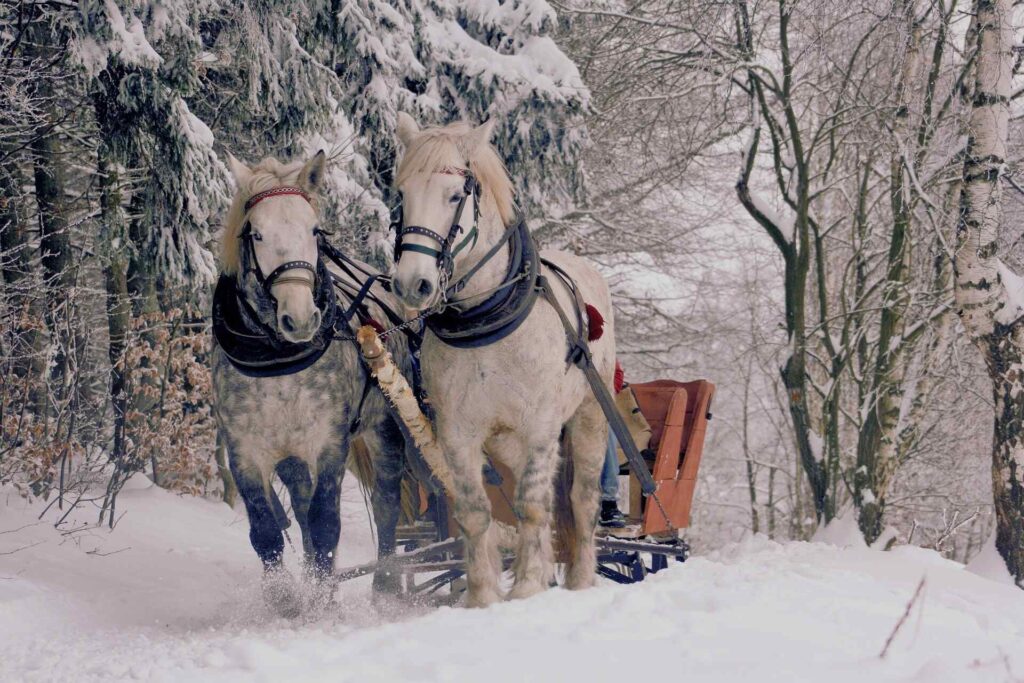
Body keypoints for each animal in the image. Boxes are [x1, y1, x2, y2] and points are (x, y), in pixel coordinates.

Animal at [391, 114, 614, 606]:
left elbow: (532, 505)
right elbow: (476, 511)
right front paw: (483, 596)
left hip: (589, 417)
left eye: (455, 195)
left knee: (580, 500)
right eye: (402, 194)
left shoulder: (541, 426)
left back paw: (580, 579)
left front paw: (528, 586)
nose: (413, 284)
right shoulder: (457, 432)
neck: (485, 319)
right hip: (506, 440)